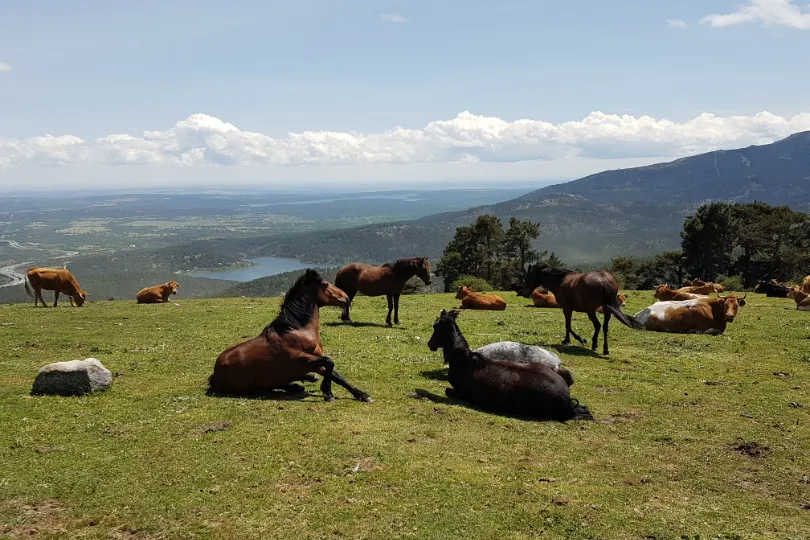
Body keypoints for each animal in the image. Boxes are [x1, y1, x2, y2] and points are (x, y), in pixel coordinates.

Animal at [208, 268, 372, 402]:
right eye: (325, 284)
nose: (347, 298)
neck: (297, 331)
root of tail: (215, 375)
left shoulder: (314, 362)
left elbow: (337, 375)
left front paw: (362, 395)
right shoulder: (301, 360)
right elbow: (329, 362)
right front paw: (328, 394)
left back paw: (304, 381)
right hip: (253, 386)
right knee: (269, 388)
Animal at [426, 308, 592, 422]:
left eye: (435, 326)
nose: (429, 344)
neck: (464, 360)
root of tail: (566, 400)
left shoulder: (459, 392)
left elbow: (448, 390)